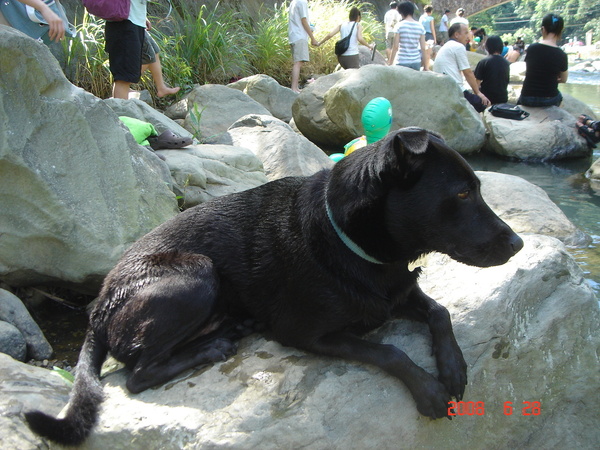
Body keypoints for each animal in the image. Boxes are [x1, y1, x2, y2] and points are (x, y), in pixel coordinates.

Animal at [24, 128, 520, 444]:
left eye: (477, 188)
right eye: (462, 194)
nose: (517, 243)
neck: (348, 238)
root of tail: (98, 308)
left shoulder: (400, 291)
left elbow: (440, 311)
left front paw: (453, 365)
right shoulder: (308, 333)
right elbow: (387, 351)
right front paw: (428, 387)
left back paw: (227, 330)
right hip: (195, 274)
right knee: (138, 373)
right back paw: (210, 347)